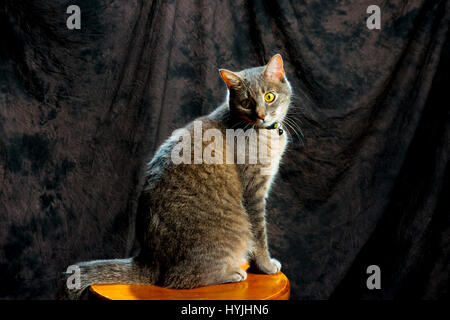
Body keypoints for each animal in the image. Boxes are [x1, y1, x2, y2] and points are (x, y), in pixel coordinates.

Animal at [57, 53, 292, 298]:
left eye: (269, 96)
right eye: (246, 103)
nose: (262, 115)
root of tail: (149, 258)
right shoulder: (253, 191)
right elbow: (259, 234)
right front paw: (266, 266)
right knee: (177, 279)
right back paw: (232, 273)